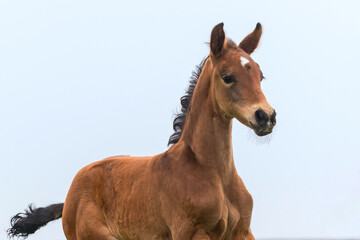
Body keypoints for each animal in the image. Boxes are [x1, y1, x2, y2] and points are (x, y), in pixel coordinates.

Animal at [9, 23, 278, 240]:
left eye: (260, 75)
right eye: (227, 77)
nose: (265, 116)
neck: (213, 172)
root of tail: (68, 199)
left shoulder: (242, 232)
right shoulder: (192, 233)